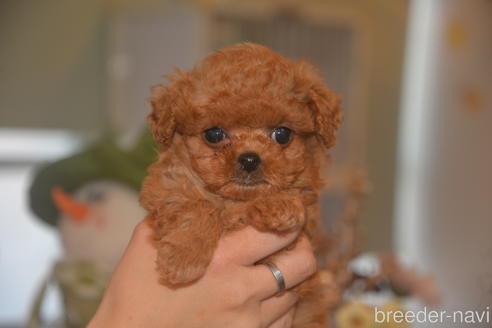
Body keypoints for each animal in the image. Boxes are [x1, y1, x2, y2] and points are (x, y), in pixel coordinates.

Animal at [140, 42, 342, 326]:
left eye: (282, 134)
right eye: (214, 134)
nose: (249, 159)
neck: (236, 201)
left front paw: (279, 205)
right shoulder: (166, 186)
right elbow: (195, 207)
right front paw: (182, 259)